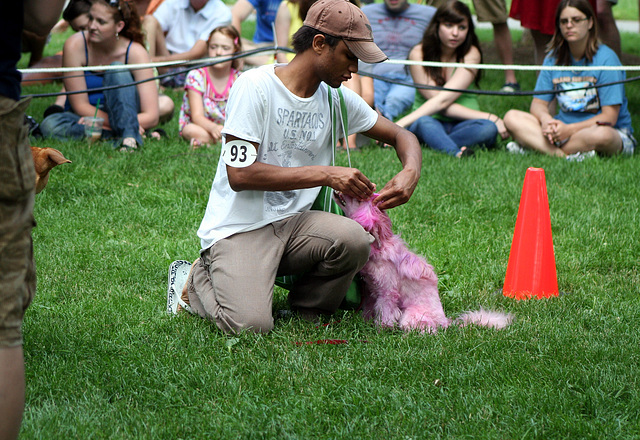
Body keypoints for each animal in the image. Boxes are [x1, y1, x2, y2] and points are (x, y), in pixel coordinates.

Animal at [338, 192, 512, 334]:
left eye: (358, 198)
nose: (339, 190)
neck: (380, 245)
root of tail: (446, 322)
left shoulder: (387, 293)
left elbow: (386, 312)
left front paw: (382, 329)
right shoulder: (370, 290)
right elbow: (369, 308)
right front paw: (366, 322)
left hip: (411, 315)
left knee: (427, 331)